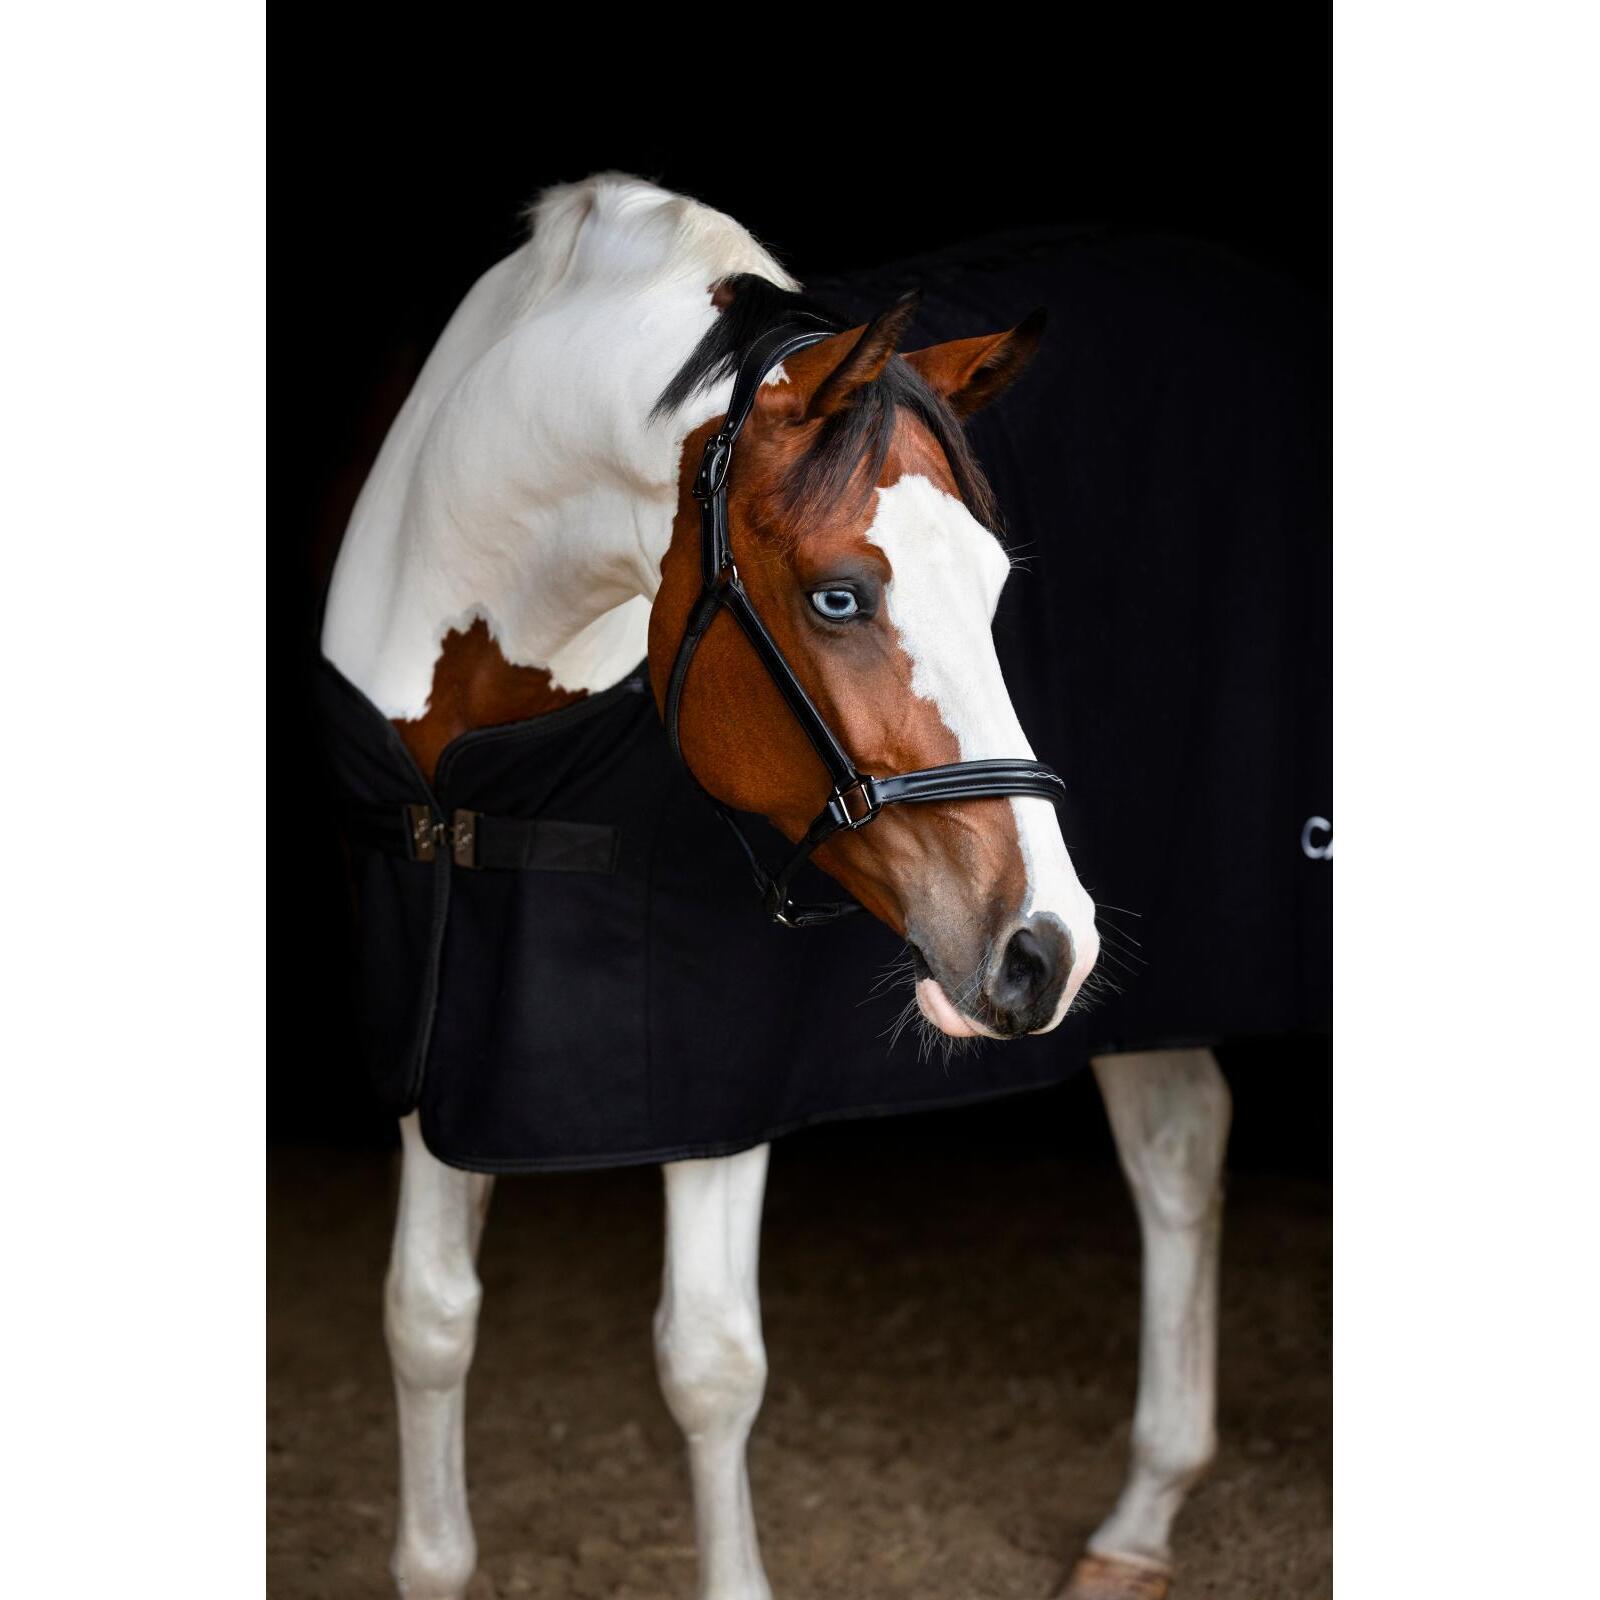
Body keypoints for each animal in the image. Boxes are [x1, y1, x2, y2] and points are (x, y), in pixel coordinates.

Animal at [320, 173, 1233, 1600]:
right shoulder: (436, 1024)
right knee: (1180, 1134)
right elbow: (426, 1315)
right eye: (840, 595)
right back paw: (1136, 1522)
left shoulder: (711, 1065)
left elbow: (708, 1360)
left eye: (997, 586)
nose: (1045, 944)